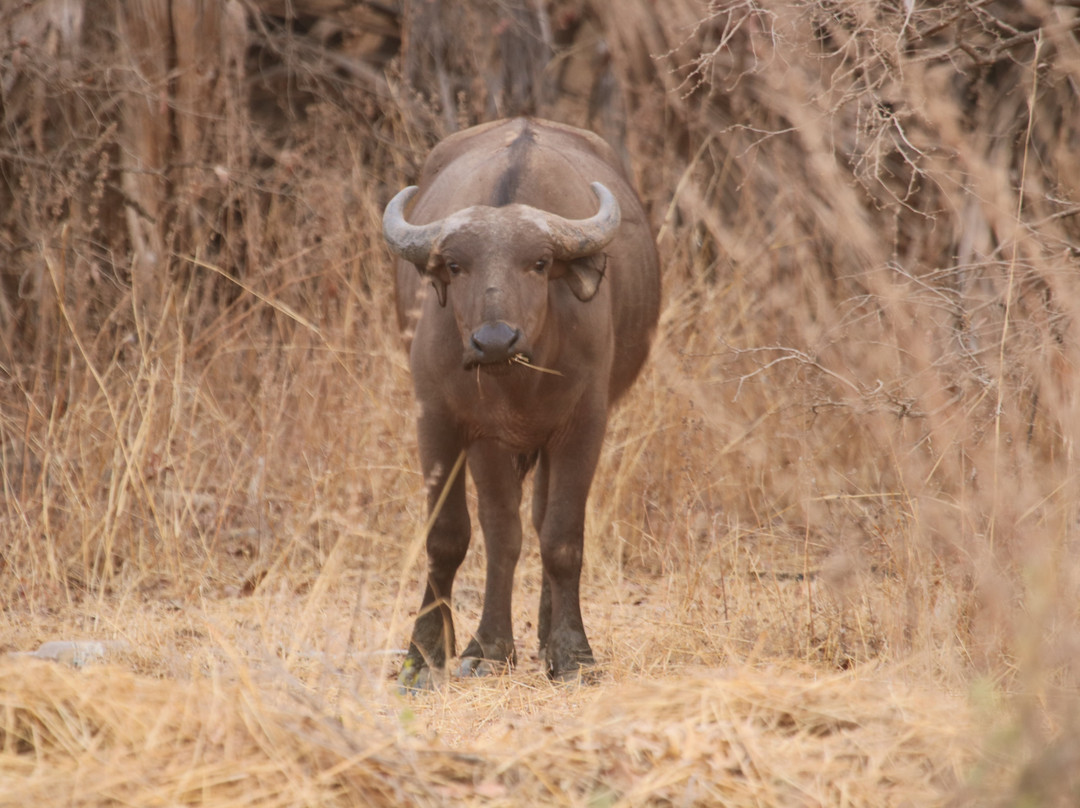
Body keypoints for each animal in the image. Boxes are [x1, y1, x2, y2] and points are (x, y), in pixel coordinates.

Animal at [384, 118, 660, 687]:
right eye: (455, 265)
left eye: (539, 262)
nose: (493, 340)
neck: (518, 378)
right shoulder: (453, 424)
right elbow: (458, 536)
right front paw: (439, 652)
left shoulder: (582, 425)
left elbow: (561, 538)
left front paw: (572, 651)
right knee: (504, 530)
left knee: (540, 520)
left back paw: (547, 636)